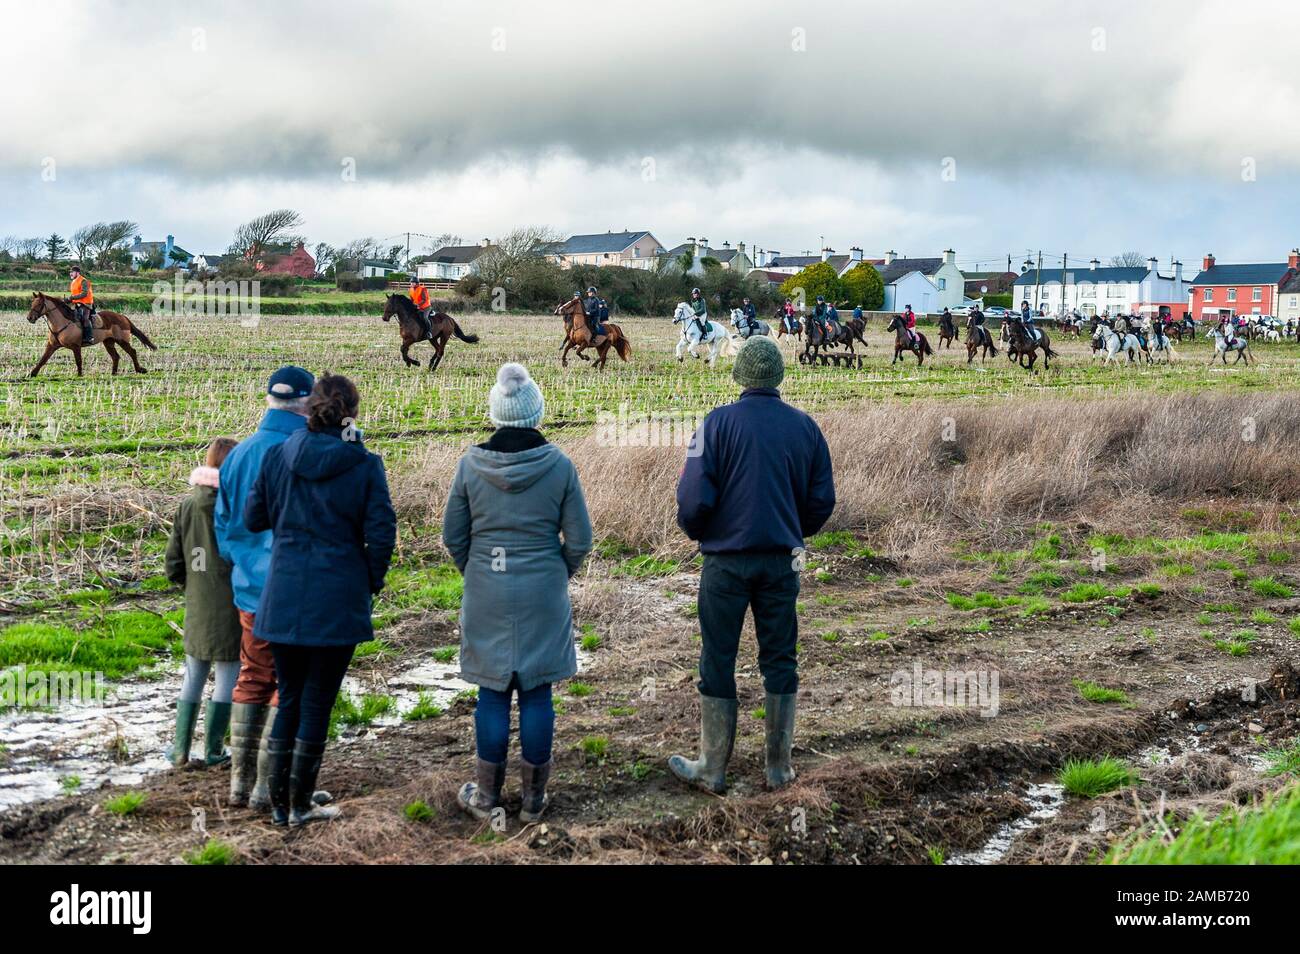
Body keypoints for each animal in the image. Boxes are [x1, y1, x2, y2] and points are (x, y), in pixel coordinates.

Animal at [24, 293, 156, 379]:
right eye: (32, 303)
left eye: (39, 303)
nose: (29, 318)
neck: (62, 322)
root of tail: (122, 317)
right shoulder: (52, 345)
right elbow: (43, 359)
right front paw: (32, 373)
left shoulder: (75, 346)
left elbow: (78, 360)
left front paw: (79, 375)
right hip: (109, 342)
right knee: (116, 356)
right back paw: (113, 373)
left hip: (122, 341)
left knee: (132, 352)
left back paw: (139, 369)